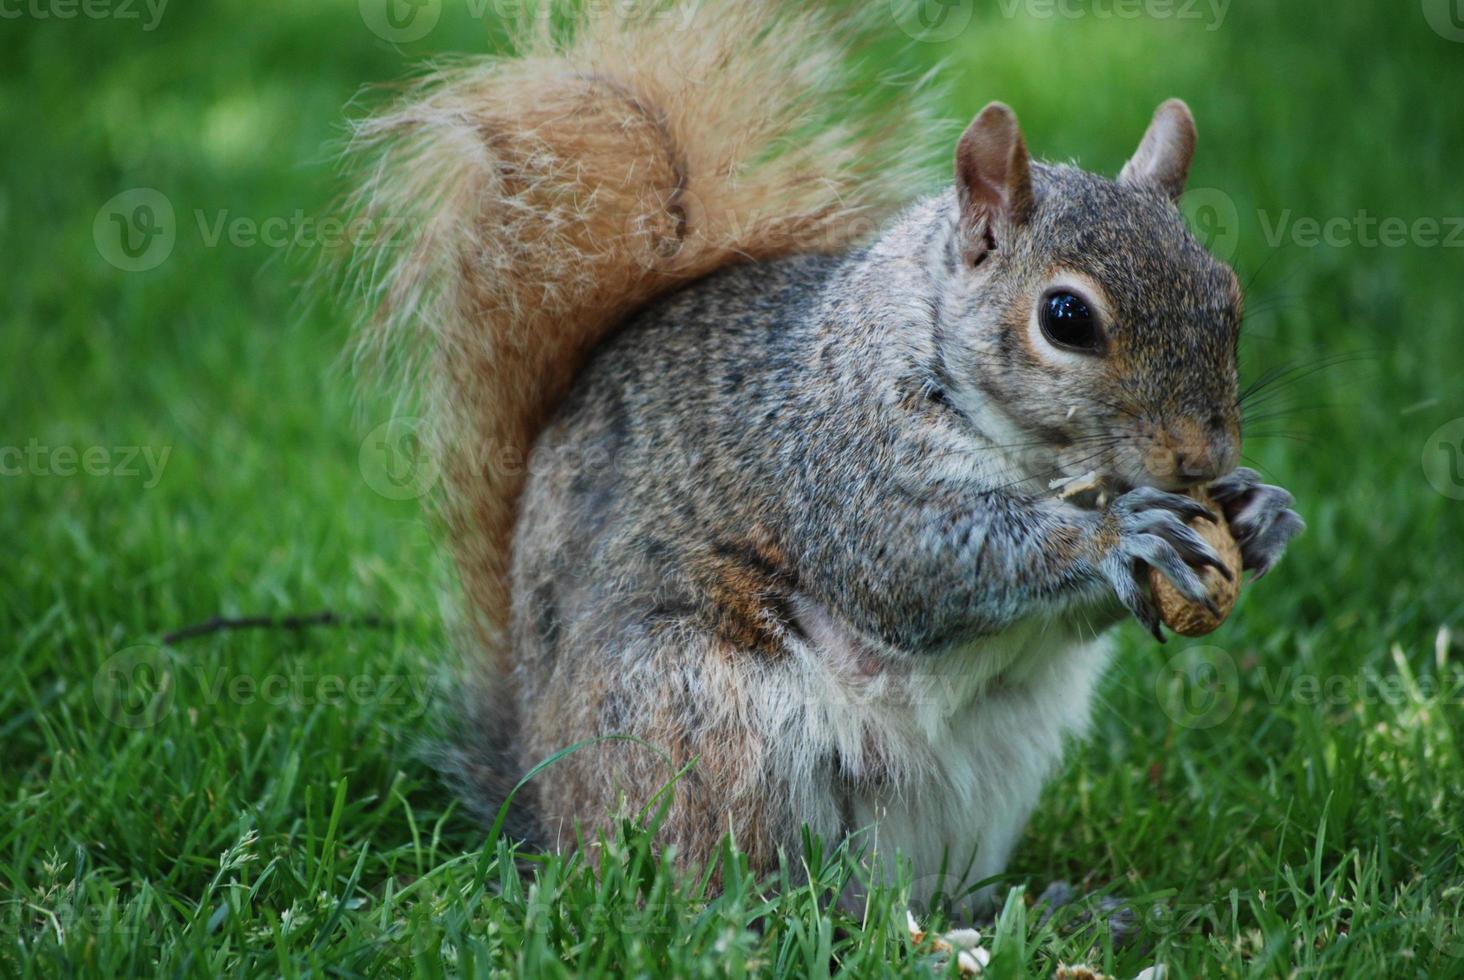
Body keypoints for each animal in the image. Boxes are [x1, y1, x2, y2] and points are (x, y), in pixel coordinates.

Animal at [342, 1, 1305, 908]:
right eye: (1065, 318)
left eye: (1228, 296)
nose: (1201, 455)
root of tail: (543, 810)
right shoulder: (838, 459)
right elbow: (919, 562)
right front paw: (1117, 536)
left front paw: (1257, 513)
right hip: (705, 722)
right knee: (733, 898)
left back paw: (1026, 912)